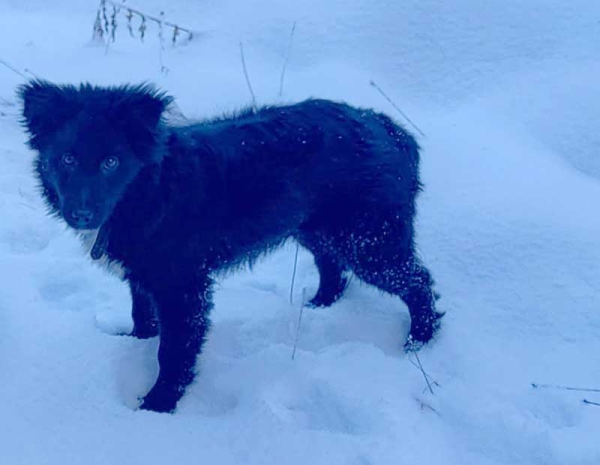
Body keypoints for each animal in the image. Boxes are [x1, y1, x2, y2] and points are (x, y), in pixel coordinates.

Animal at [18, 80, 442, 414]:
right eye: (66, 158)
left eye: (111, 162)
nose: (81, 214)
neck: (150, 190)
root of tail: (390, 128)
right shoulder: (145, 275)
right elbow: (143, 317)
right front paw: (136, 347)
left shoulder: (183, 286)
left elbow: (174, 351)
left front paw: (158, 406)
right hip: (318, 228)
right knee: (334, 270)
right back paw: (320, 306)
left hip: (369, 240)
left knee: (418, 282)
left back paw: (418, 341)